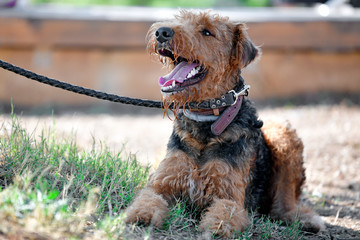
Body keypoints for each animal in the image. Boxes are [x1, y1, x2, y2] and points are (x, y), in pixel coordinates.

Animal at [125, 10, 324, 237]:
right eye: (180, 19)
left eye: (207, 32)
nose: (161, 32)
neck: (206, 123)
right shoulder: (160, 185)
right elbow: (147, 199)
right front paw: (141, 216)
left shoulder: (229, 197)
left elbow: (223, 214)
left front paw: (215, 229)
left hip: (282, 136)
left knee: (286, 201)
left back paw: (305, 220)